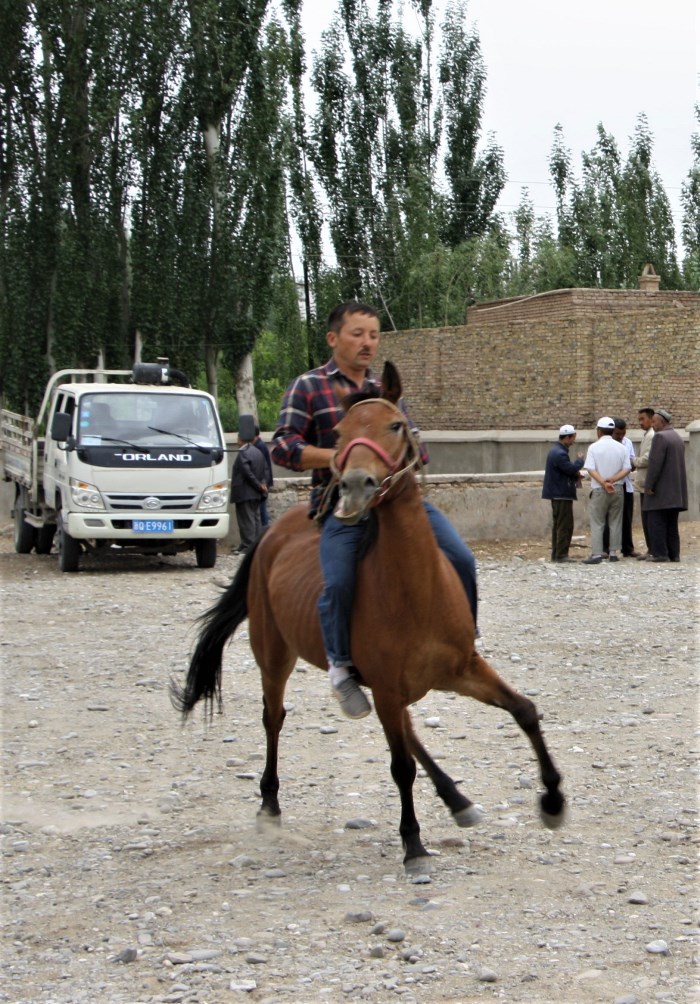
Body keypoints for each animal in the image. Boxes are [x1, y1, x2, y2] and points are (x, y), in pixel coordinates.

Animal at [171, 363, 566, 871]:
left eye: (396, 425)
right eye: (340, 434)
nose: (356, 485)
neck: (415, 592)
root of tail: (271, 535)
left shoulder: (459, 670)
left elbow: (524, 711)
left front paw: (553, 800)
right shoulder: (387, 687)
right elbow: (400, 767)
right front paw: (413, 844)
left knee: (410, 734)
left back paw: (457, 800)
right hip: (276, 655)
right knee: (274, 719)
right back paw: (269, 804)